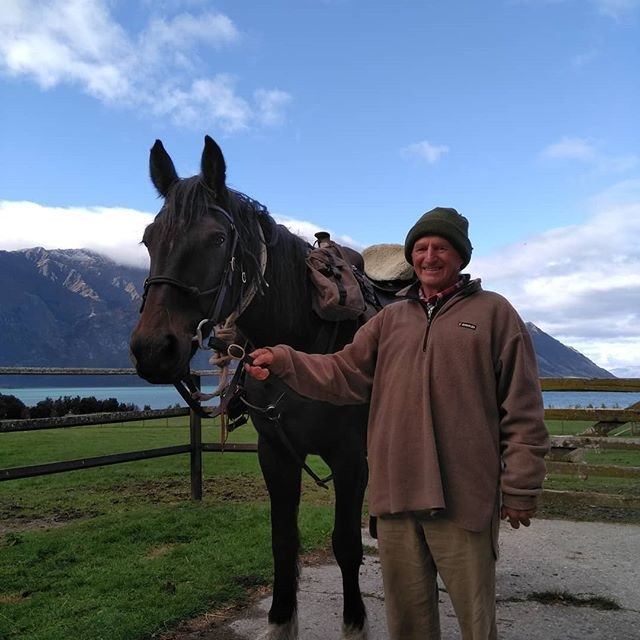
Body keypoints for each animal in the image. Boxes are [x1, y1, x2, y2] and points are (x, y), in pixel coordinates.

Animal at [129, 138, 370, 636]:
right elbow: (282, 542)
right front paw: (280, 620)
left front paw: (355, 622)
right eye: (148, 239)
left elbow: (346, 545)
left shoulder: (350, 459)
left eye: (218, 240)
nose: (152, 349)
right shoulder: (276, 455)